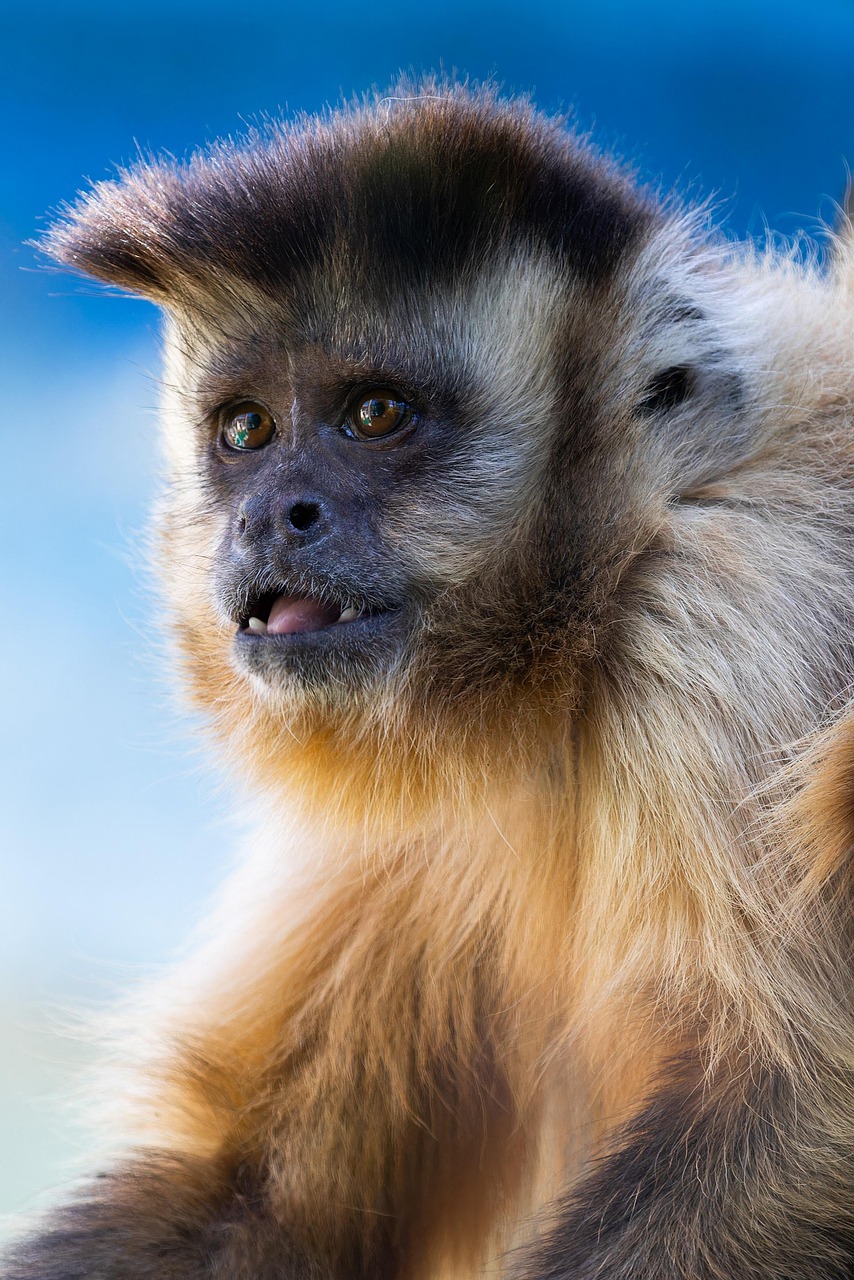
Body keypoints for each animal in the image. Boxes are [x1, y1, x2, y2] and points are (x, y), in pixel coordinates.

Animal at [5, 82, 854, 1280]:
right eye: (246, 430)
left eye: (374, 415)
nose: (272, 512)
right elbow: (256, 1189)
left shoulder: (735, 616)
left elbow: (807, 1109)